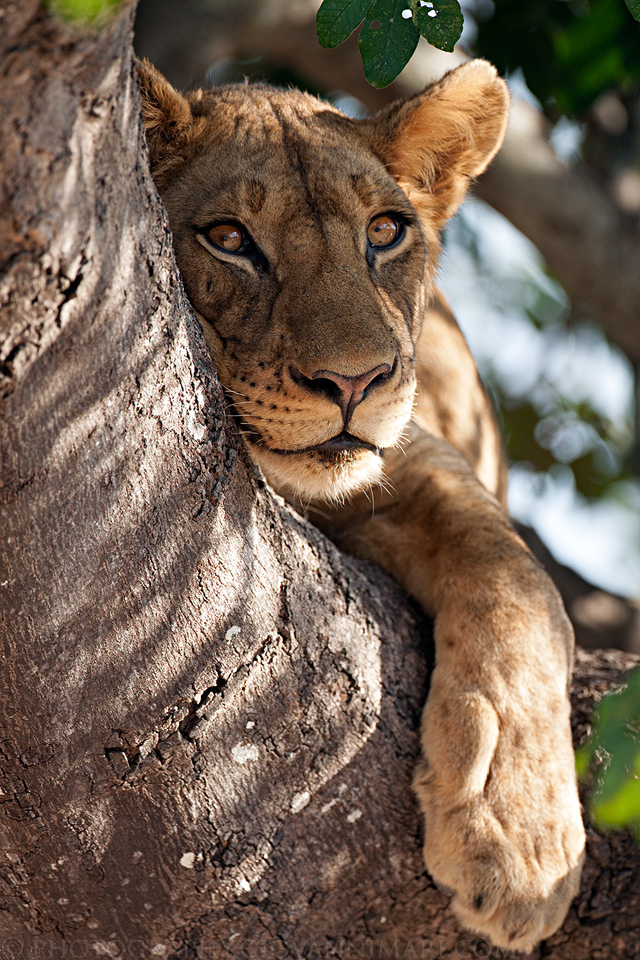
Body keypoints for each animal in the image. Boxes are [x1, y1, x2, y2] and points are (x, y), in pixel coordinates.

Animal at [137, 58, 586, 952]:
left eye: (384, 232)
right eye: (228, 239)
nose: (354, 382)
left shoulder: (416, 462)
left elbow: (513, 578)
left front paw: (521, 842)